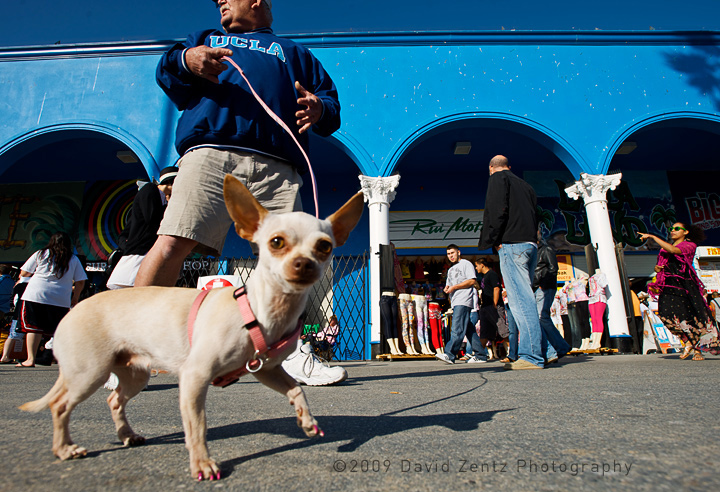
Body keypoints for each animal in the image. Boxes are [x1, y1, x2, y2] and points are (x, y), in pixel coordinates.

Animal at [22, 176, 366, 480]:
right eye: (277, 242)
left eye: (324, 247)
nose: (304, 263)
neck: (262, 310)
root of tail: (72, 310)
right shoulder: (195, 377)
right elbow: (197, 426)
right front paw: (202, 464)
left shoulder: (264, 370)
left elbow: (296, 389)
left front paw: (307, 421)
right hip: (89, 373)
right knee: (60, 405)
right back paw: (65, 448)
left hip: (134, 373)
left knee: (115, 400)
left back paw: (127, 435)